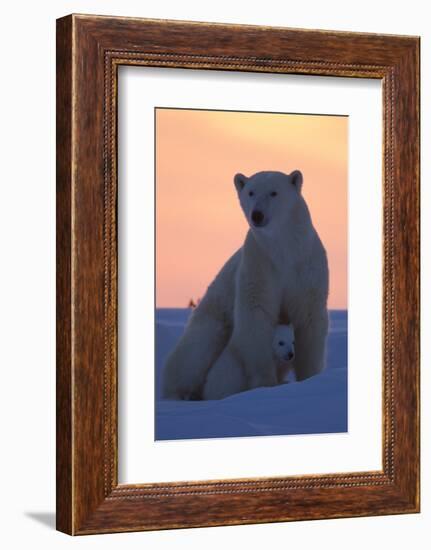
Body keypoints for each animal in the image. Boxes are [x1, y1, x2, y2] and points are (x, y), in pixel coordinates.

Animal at [161, 169, 328, 402]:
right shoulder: (259, 263)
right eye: (250, 192)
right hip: (213, 319)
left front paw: (310, 379)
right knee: (194, 353)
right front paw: (265, 384)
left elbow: (309, 318)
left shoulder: (306, 267)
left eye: (274, 192)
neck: (284, 250)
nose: (257, 215)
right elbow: (256, 316)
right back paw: (180, 394)